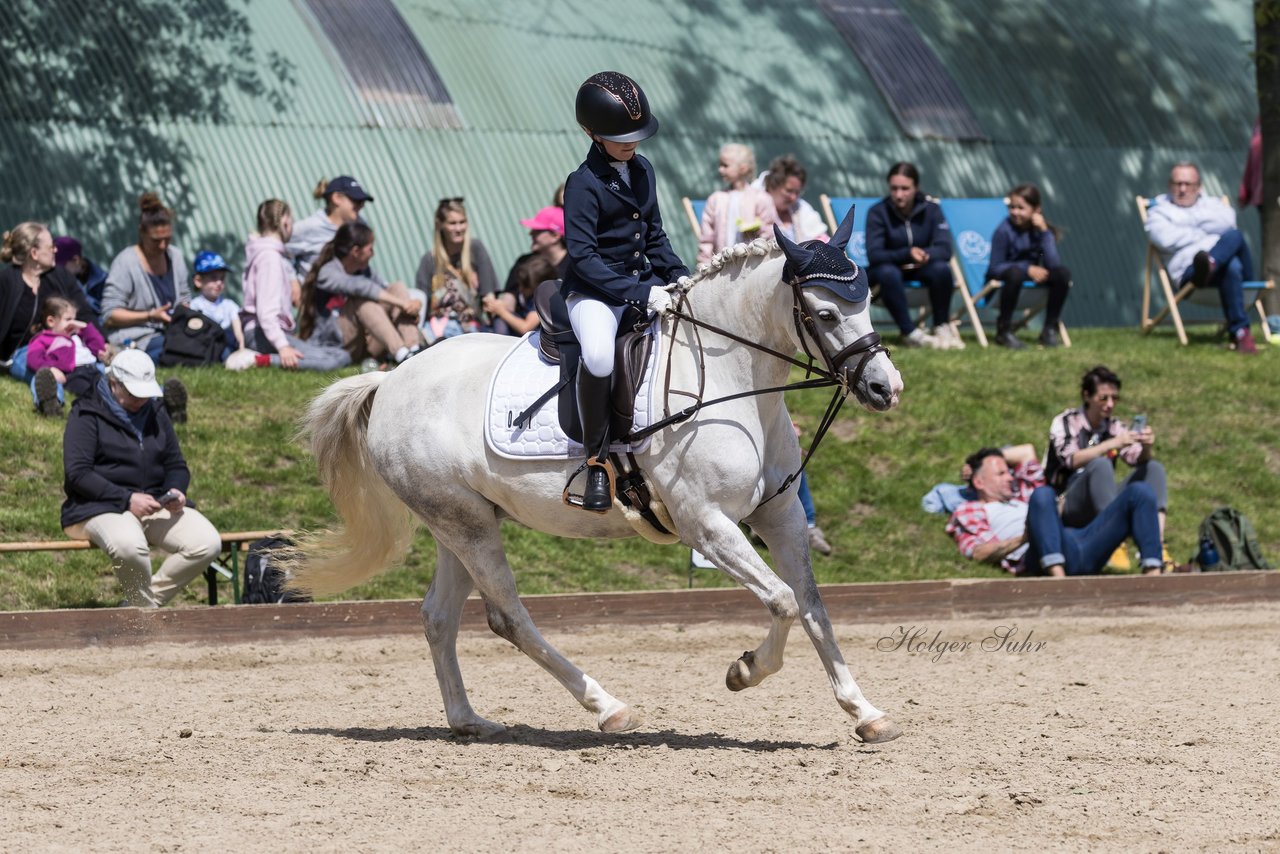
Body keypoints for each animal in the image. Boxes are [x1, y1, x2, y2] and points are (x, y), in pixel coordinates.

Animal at [294, 217, 906, 742]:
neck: (731, 378)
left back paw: (469, 720)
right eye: (825, 315)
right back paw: (607, 707)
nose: (885, 387)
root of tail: (391, 378)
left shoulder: (780, 516)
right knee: (507, 616)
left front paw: (867, 713)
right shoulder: (707, 525)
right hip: (464, 523)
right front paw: (745, 669)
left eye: (866, 302)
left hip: (459, 523)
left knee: (439, 617)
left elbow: (812, 606)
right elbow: (782, 601)